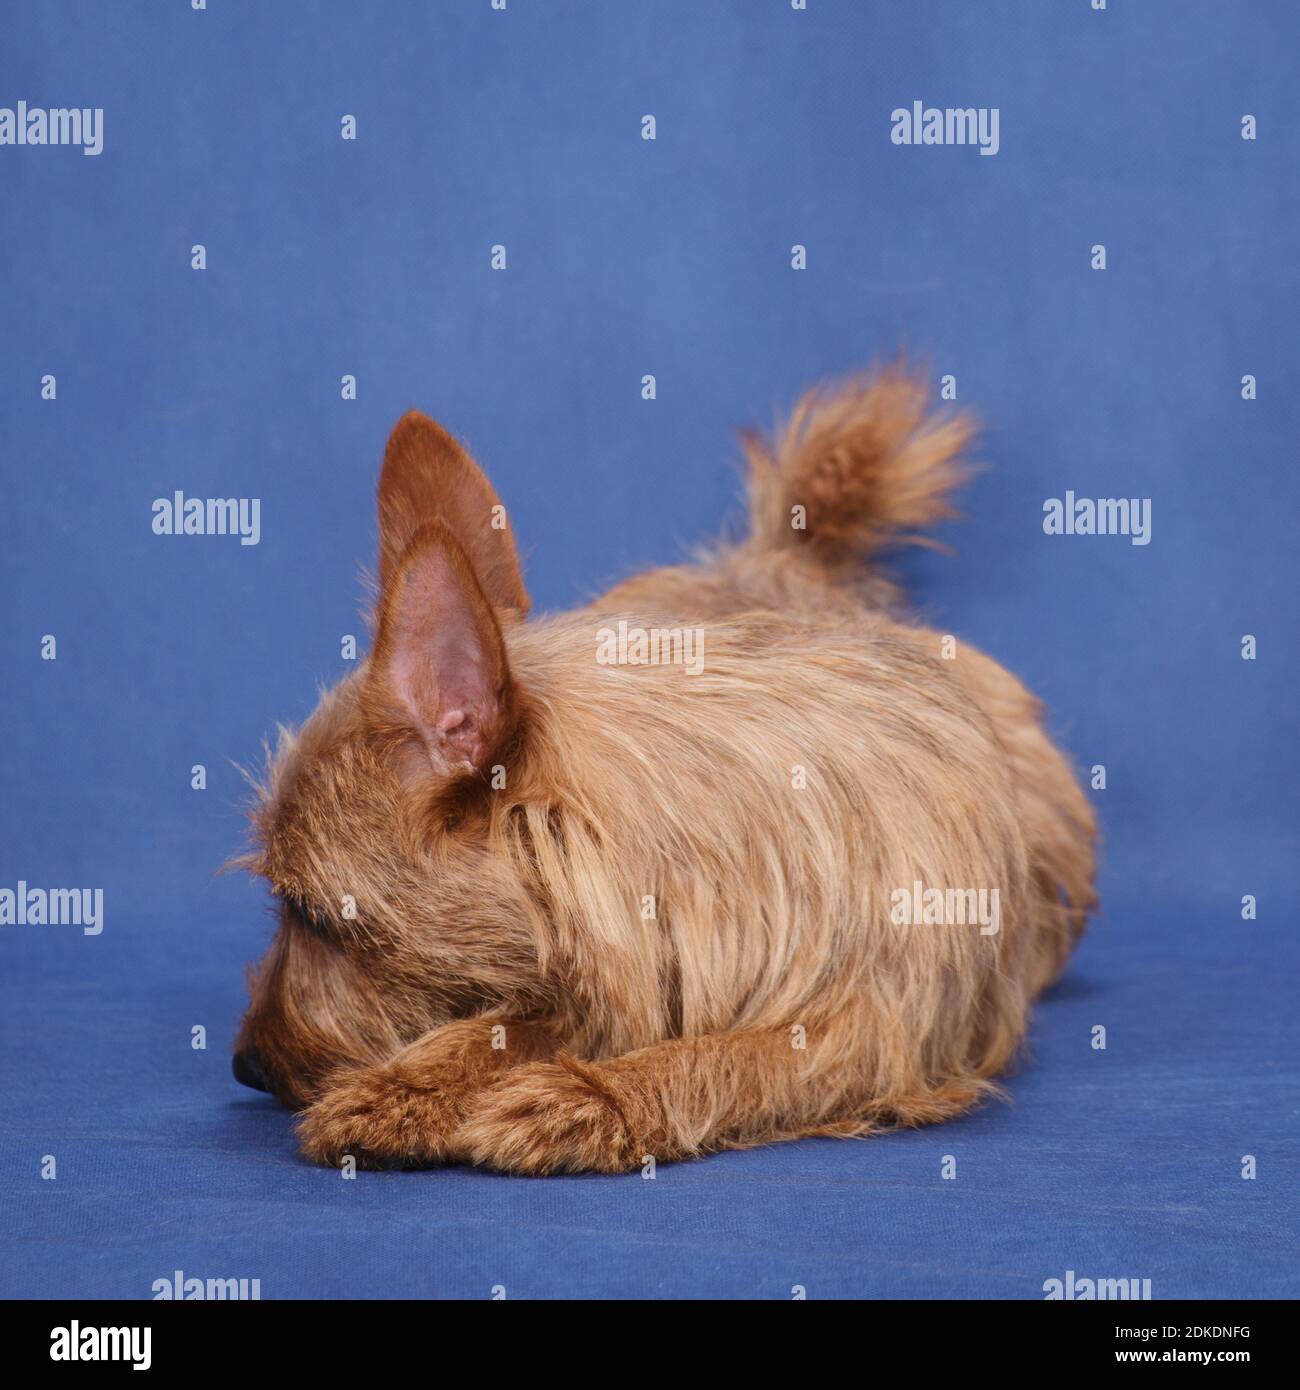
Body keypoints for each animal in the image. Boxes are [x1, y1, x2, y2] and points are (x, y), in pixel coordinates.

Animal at [229, 369, 1095, 1173]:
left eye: (312, 915)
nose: (244, 1067)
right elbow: (512, 1024)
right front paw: (409, 1087)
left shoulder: (865, 1030)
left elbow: (730, 1061)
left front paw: (597, 1096)